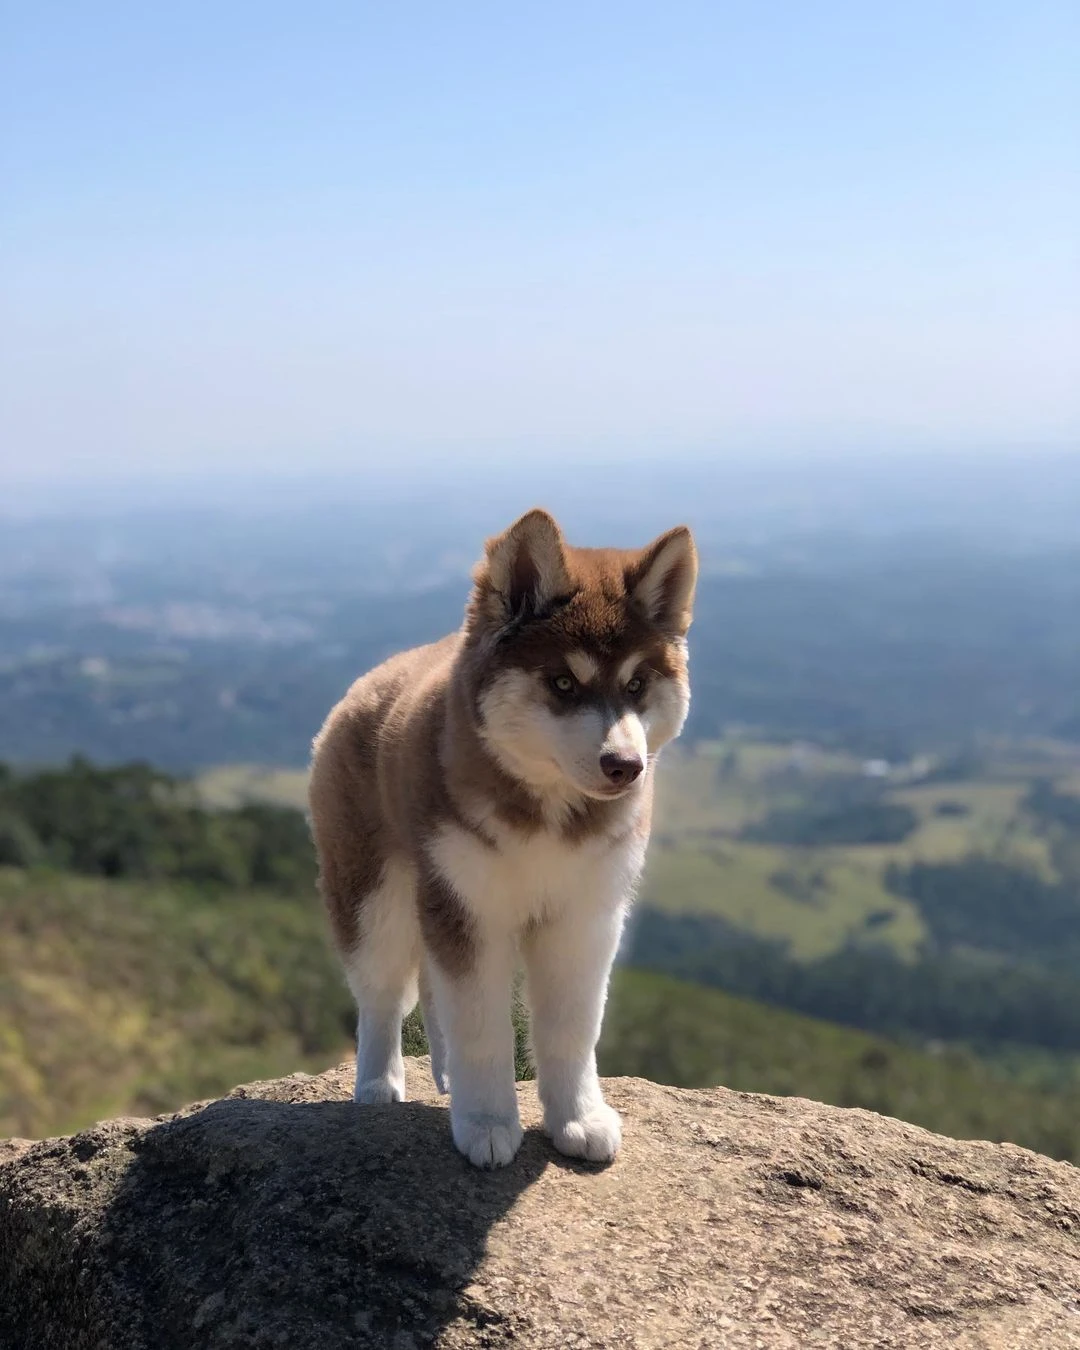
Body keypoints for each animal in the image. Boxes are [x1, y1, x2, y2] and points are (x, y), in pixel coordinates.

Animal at [307, 510, 696, 1166]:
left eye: (637, 685)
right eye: (562, 682)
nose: (625, 766)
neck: (550, 813)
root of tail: (371, 680)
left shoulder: (585, 917)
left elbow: (571, 1028)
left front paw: (579, 1118)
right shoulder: (470, 907)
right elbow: (482, 1029)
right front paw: (488, 1122)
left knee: (430, 990)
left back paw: (442, 1073)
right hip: (372, 895)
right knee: (383, 993)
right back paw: (379, 1083)